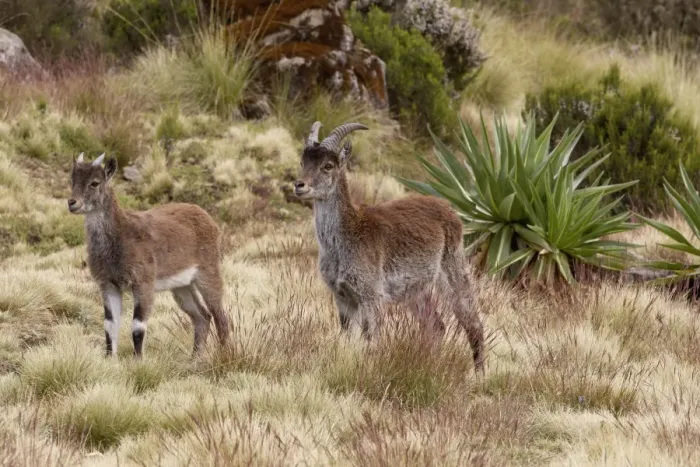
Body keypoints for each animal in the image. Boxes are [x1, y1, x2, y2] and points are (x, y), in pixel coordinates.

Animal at [68, 153, 229, 358]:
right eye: (72, 180)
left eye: (94, 183)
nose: (72, 203)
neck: (120, 237)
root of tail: (210, 221)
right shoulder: (108, 285)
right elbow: (110, 326)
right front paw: (110, 359)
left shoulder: (143, 282)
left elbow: (137, 327)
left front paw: (138, 361)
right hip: (182, 286)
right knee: (202, 316)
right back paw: (195, 359)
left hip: (208, 273)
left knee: (220, 316)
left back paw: (224, 356)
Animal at [294, 122, 485, 372]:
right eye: (303, 162)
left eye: (328, 165)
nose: (299, 185)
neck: (346, 237)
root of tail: (449, 210)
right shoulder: (343, 297)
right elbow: (347, 339)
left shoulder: (371, 296)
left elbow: (371, 340)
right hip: (416, 290)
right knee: (436, 325)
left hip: (452, 269)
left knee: (472, 321)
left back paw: (479, 372)